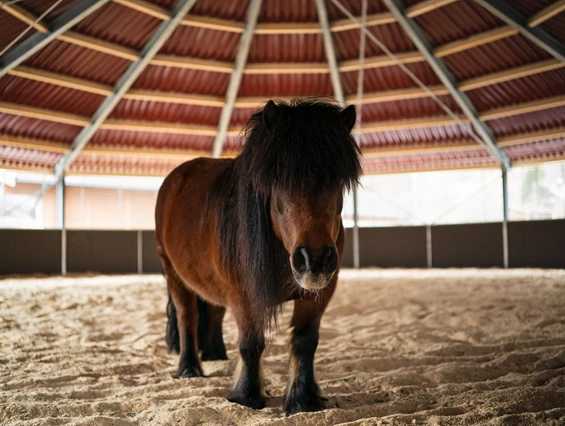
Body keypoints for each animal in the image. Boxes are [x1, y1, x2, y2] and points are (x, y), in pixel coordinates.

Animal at [154, 98, 362, 414]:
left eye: (337, 180)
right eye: (280, 180)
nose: (314, 260)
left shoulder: (320, 294)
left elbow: (305, 341)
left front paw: (304, 399)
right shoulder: (244, 294)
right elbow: (250, 343)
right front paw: (247, 396)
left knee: (212, 310)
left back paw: (215, 353)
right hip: (173, 273)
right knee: (186, 316)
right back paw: (189, 368)